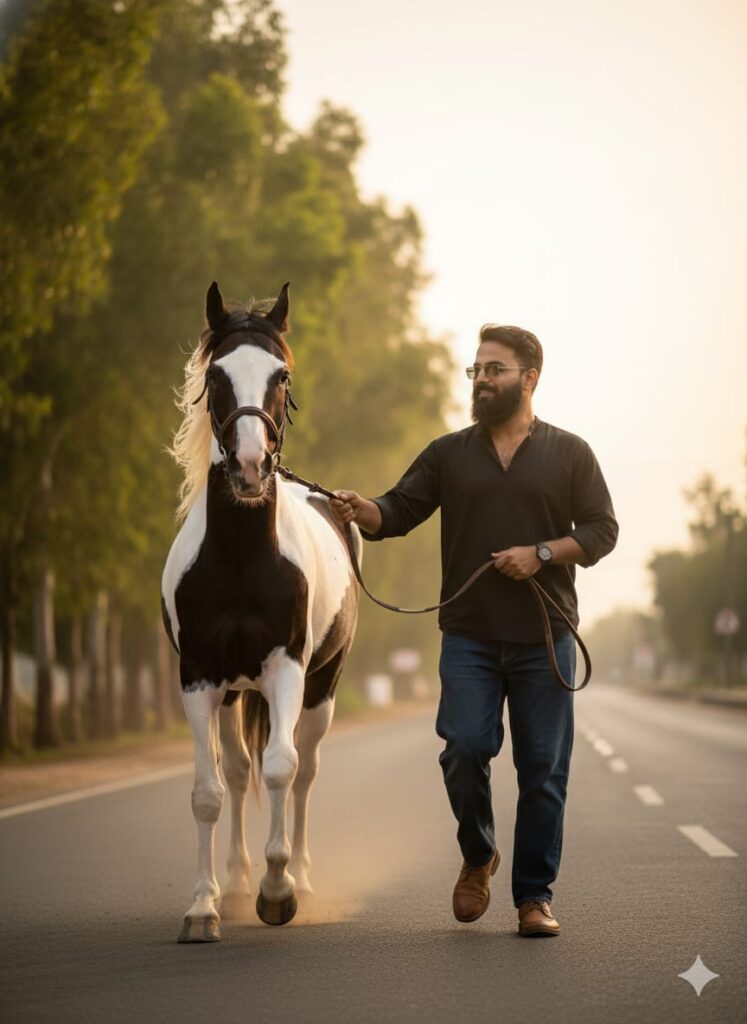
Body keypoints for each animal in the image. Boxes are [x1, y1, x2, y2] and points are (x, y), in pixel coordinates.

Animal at [161, 281, 361, 942]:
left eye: (281, 375)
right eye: (215, 375)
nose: (250, 467)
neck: (243, 558)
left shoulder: (286, 670)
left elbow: (281, 767)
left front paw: (279, 891)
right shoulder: (198, 678)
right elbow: (208, 791)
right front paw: (204, 906)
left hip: (321, 688)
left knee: (303, 771)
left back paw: (297, 875)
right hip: (232, 694)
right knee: (238, 771)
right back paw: (236, 882)